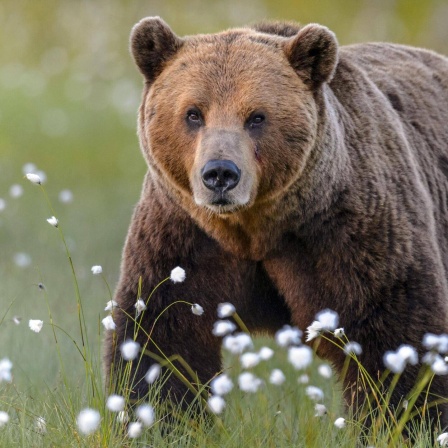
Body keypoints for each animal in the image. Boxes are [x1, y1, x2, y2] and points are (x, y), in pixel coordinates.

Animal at [106, 17, 448, 428]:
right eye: (193, 113)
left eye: (256, 116)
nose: (220, 173)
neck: (253, 229)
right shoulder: (183, 237)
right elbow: (162, 333)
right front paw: (159, 419)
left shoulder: (349, 233)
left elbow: (395, 334)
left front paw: (407, 421)